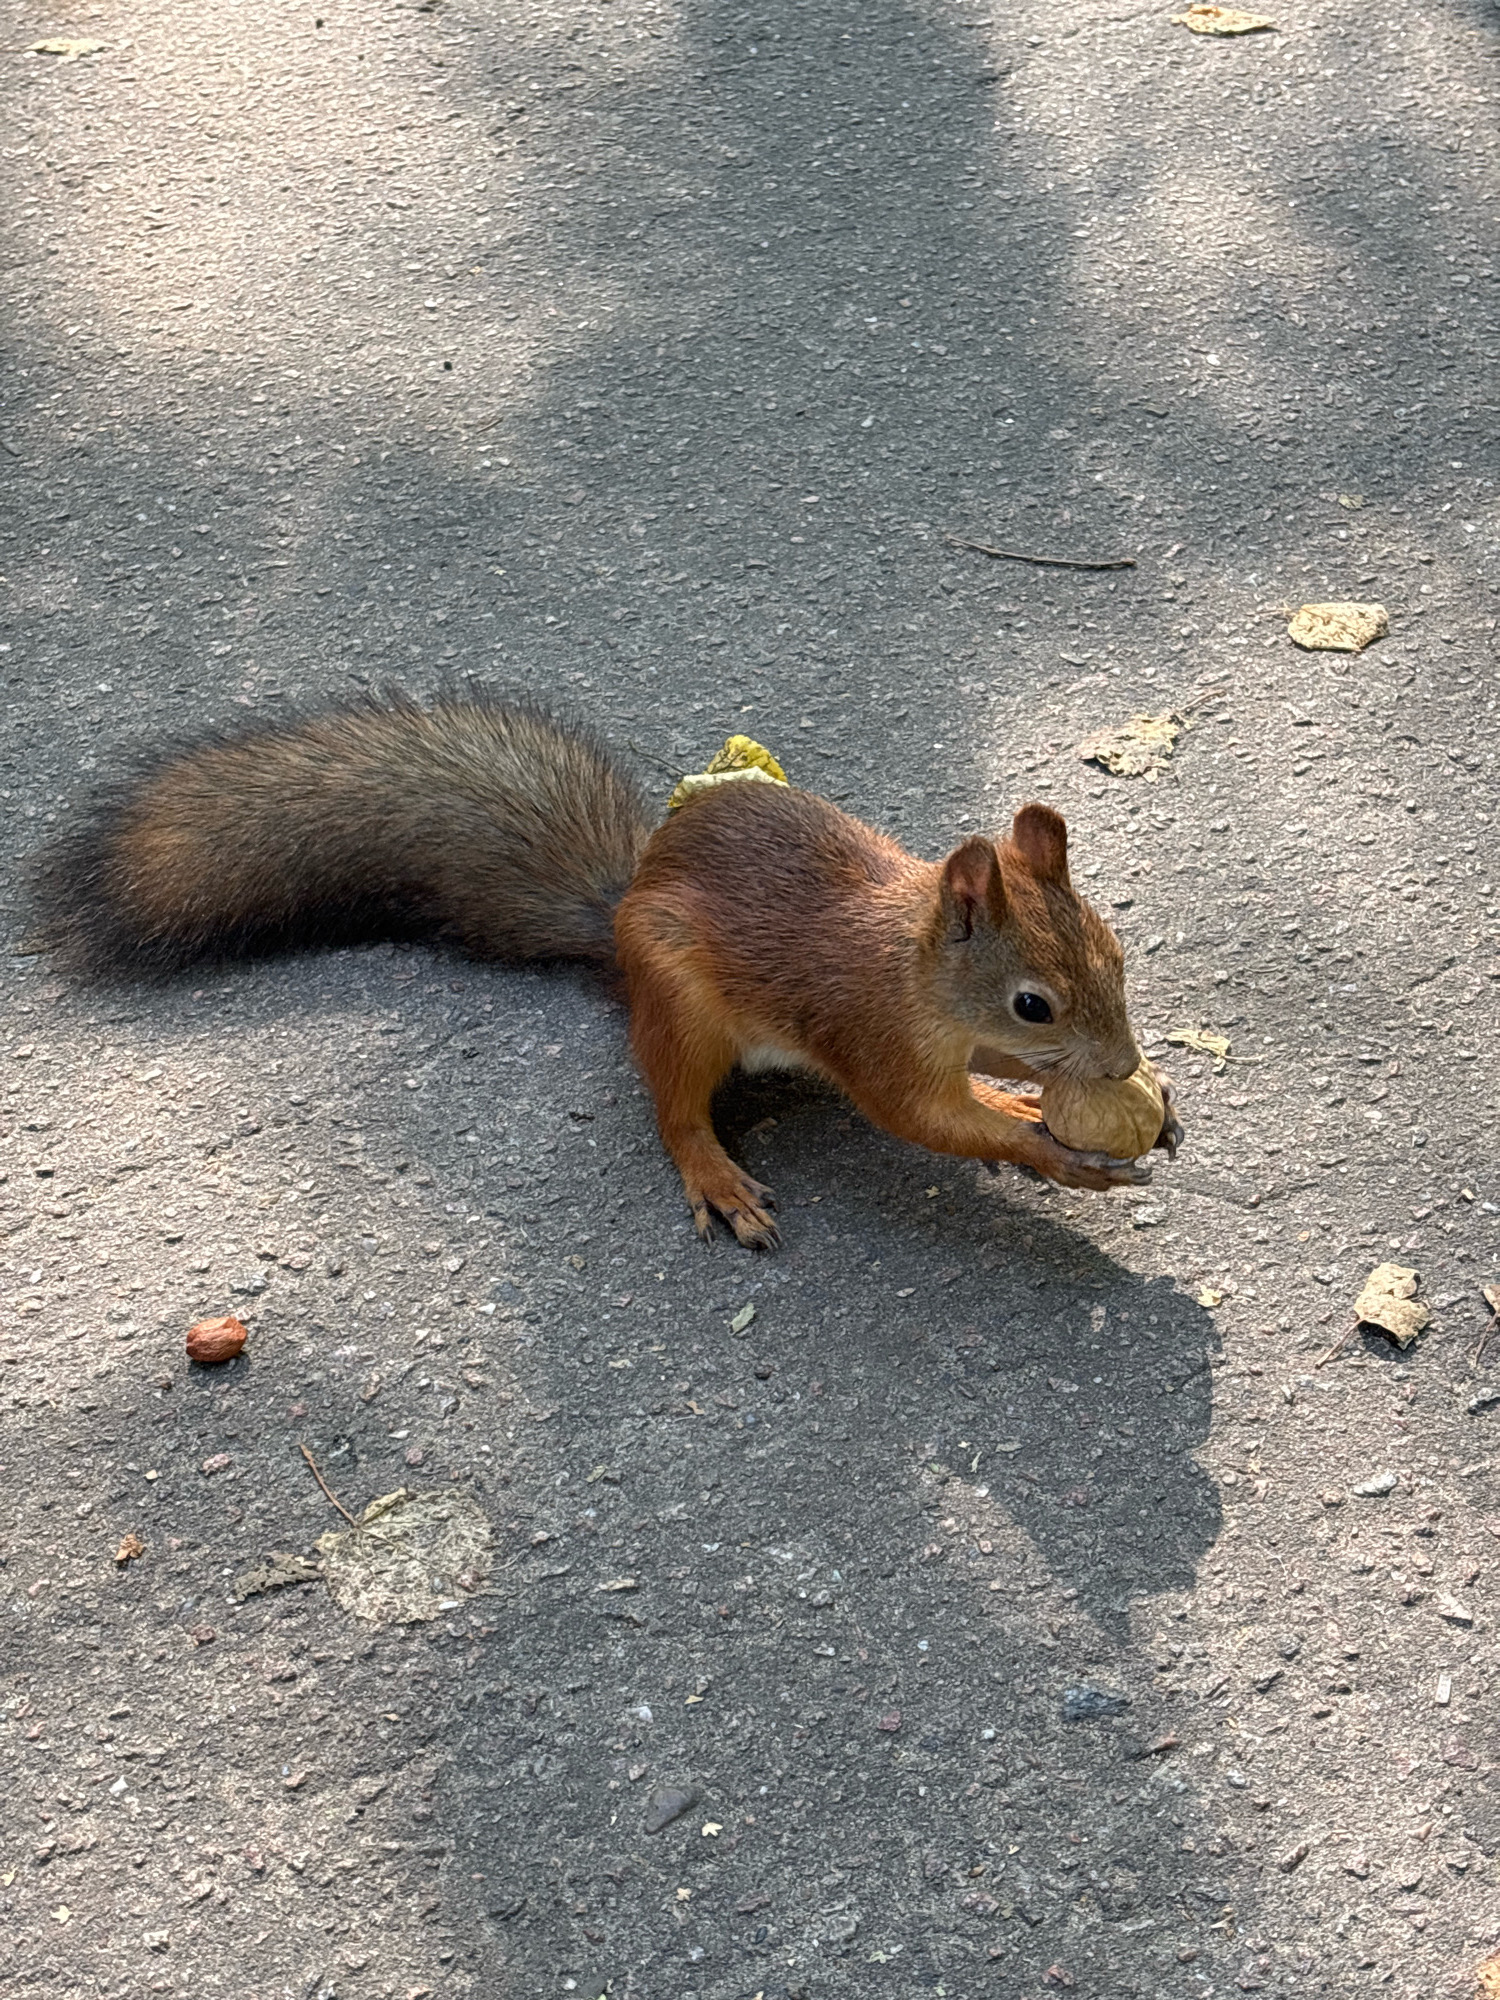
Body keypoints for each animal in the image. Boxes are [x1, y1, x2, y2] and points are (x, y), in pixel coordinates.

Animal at [28, 689, 1179, 1248]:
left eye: (1117, 953)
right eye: (1032, 1002)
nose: (1123, 1062)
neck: (917, 974)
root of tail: (626, 899)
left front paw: (1125, 1103)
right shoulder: (873, 1038)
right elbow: (922, 1118)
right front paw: (1059, 1152)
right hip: (678, 1005)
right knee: (671, 1109)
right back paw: (714, 1174)